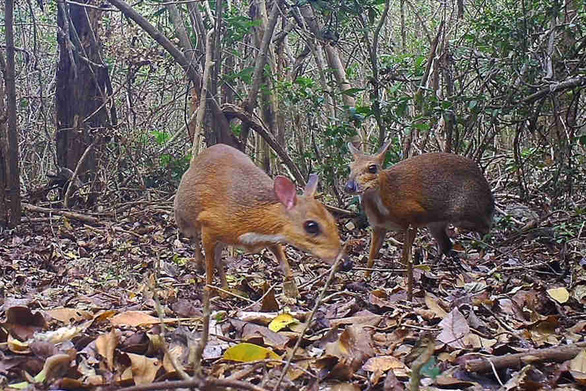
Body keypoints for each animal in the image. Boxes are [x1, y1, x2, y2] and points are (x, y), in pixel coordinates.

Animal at [344, 142, 490, 298]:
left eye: (372, 168)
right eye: (349, 167)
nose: (349, 186)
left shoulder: (413, 218)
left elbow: (404, 255)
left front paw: (402, 276)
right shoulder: (378, 227)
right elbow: (371, 257)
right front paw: (364, 278)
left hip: (466, 213)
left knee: (487, 228)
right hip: (436, 224)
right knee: (446, 244)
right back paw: (432, 266)